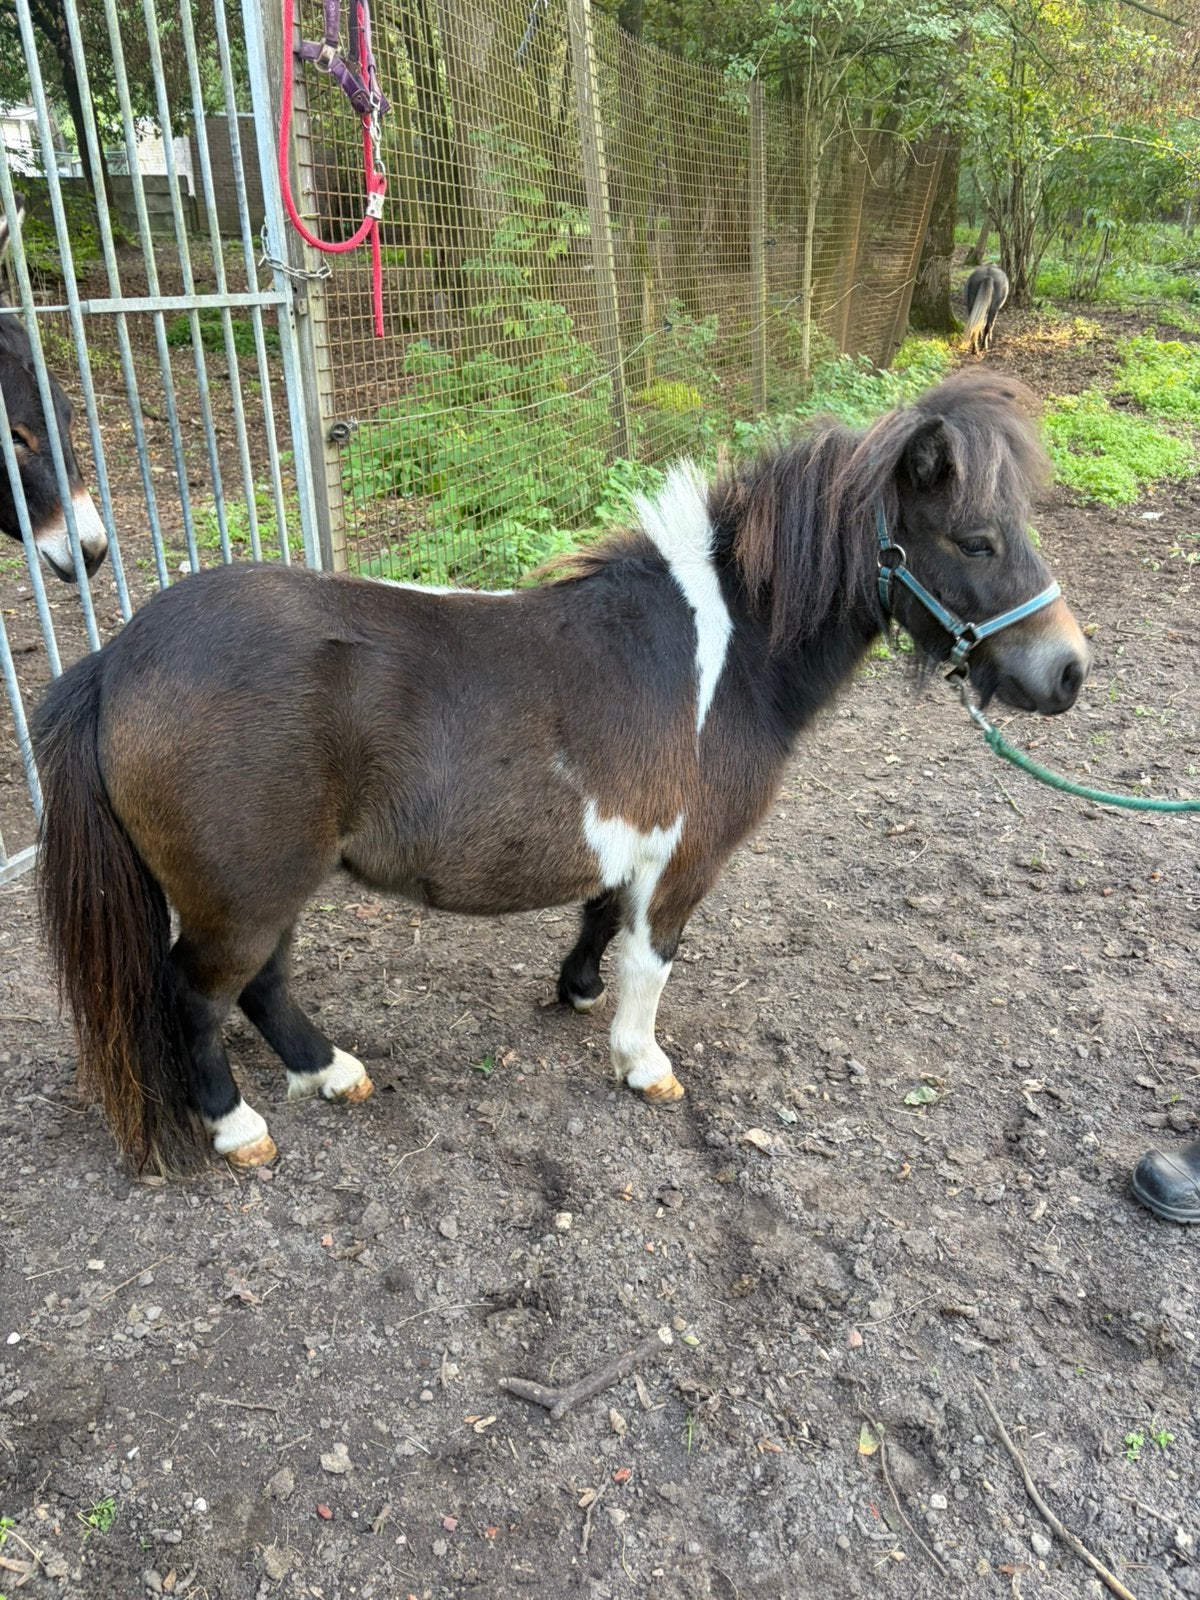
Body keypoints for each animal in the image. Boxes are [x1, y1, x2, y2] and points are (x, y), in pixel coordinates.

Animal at [32, 370, 1091, 1176]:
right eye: (977, 538)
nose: (1069, 672)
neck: (729, 646)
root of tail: (116, 661)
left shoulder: (632, 841)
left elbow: (599, 916)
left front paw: (577, 990)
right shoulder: (688, 861)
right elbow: (652, 959)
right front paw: (640, 1061)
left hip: (270, 885)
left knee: (261, 986)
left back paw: (329, 1070)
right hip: (242, 894)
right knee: (197, 997)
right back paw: (236, 1126)